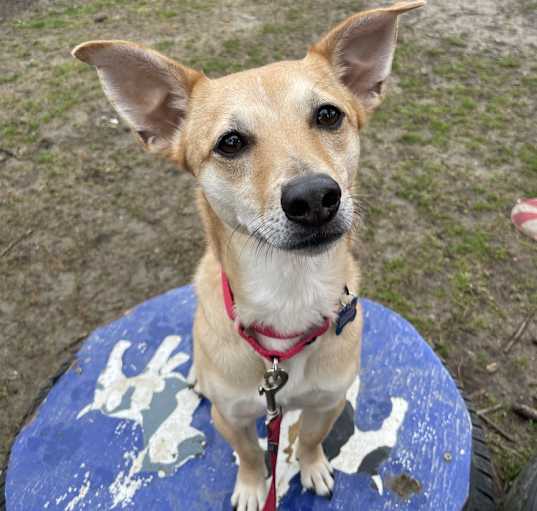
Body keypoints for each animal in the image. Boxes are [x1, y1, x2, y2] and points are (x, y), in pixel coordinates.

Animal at [72, 2, 422, 510]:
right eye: (230, 143)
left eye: (328, 115)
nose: (314, 198)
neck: (289, 294)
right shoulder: (232, 417)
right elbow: (252, 454)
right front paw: (256, 488)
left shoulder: (328, 402)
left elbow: (311, 437)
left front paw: (311, 465)